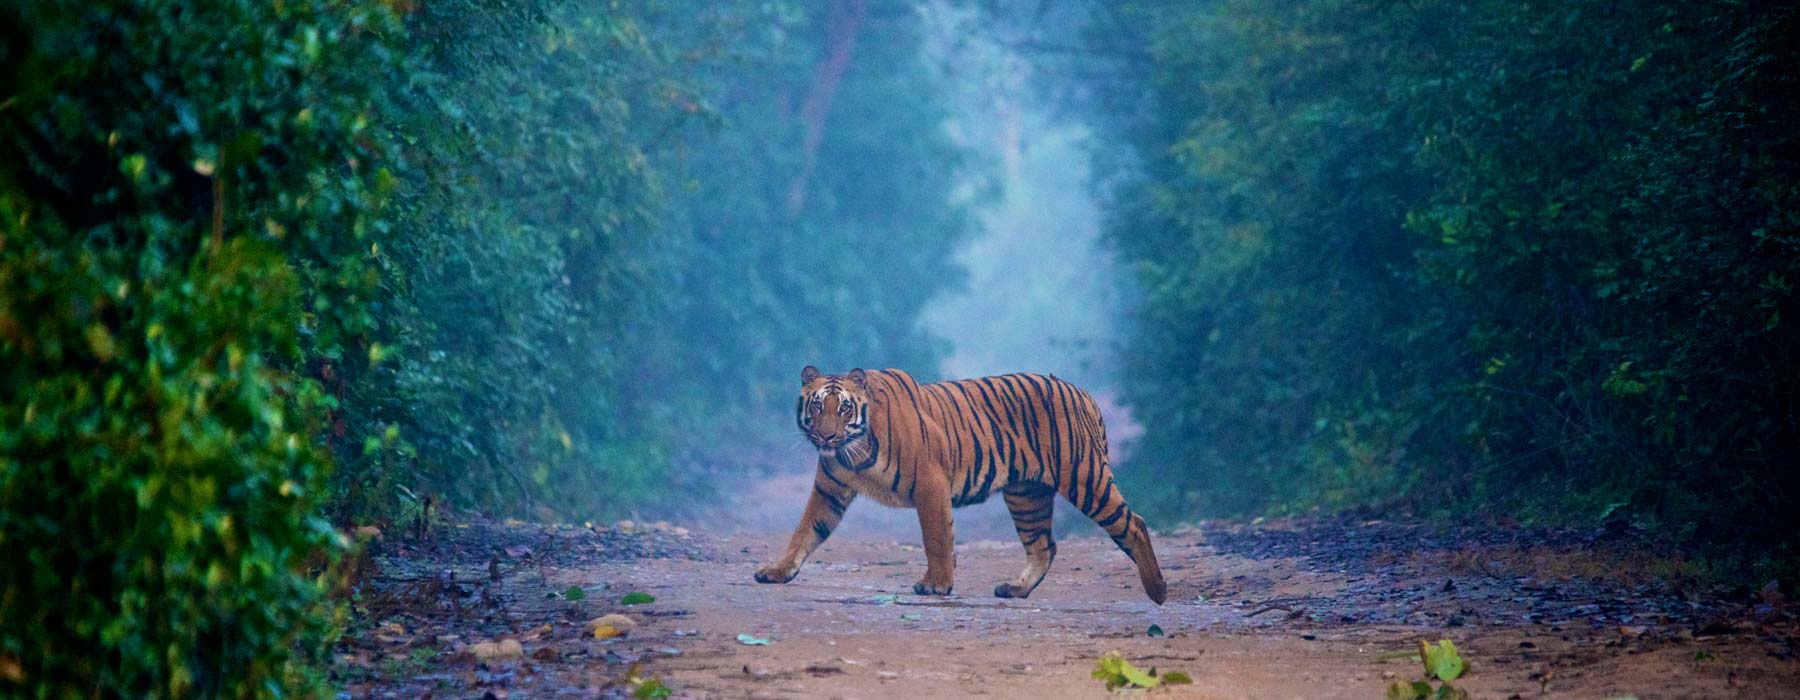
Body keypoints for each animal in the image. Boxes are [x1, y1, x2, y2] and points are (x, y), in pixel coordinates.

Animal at [745, 365, 1166, 601]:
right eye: (817, 405)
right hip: (1026, 494)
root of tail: (1084, 393)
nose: (826, 437)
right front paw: (778, 571)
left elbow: (936, 538)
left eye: (844, 408)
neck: (852, 449)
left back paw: (1158, 591)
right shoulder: (829, 490)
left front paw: (936, 584)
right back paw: (1015, 589)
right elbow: (804, 532)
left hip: (1084, 476)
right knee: (1043, 545)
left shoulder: (930, 483)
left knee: (1134, 524)